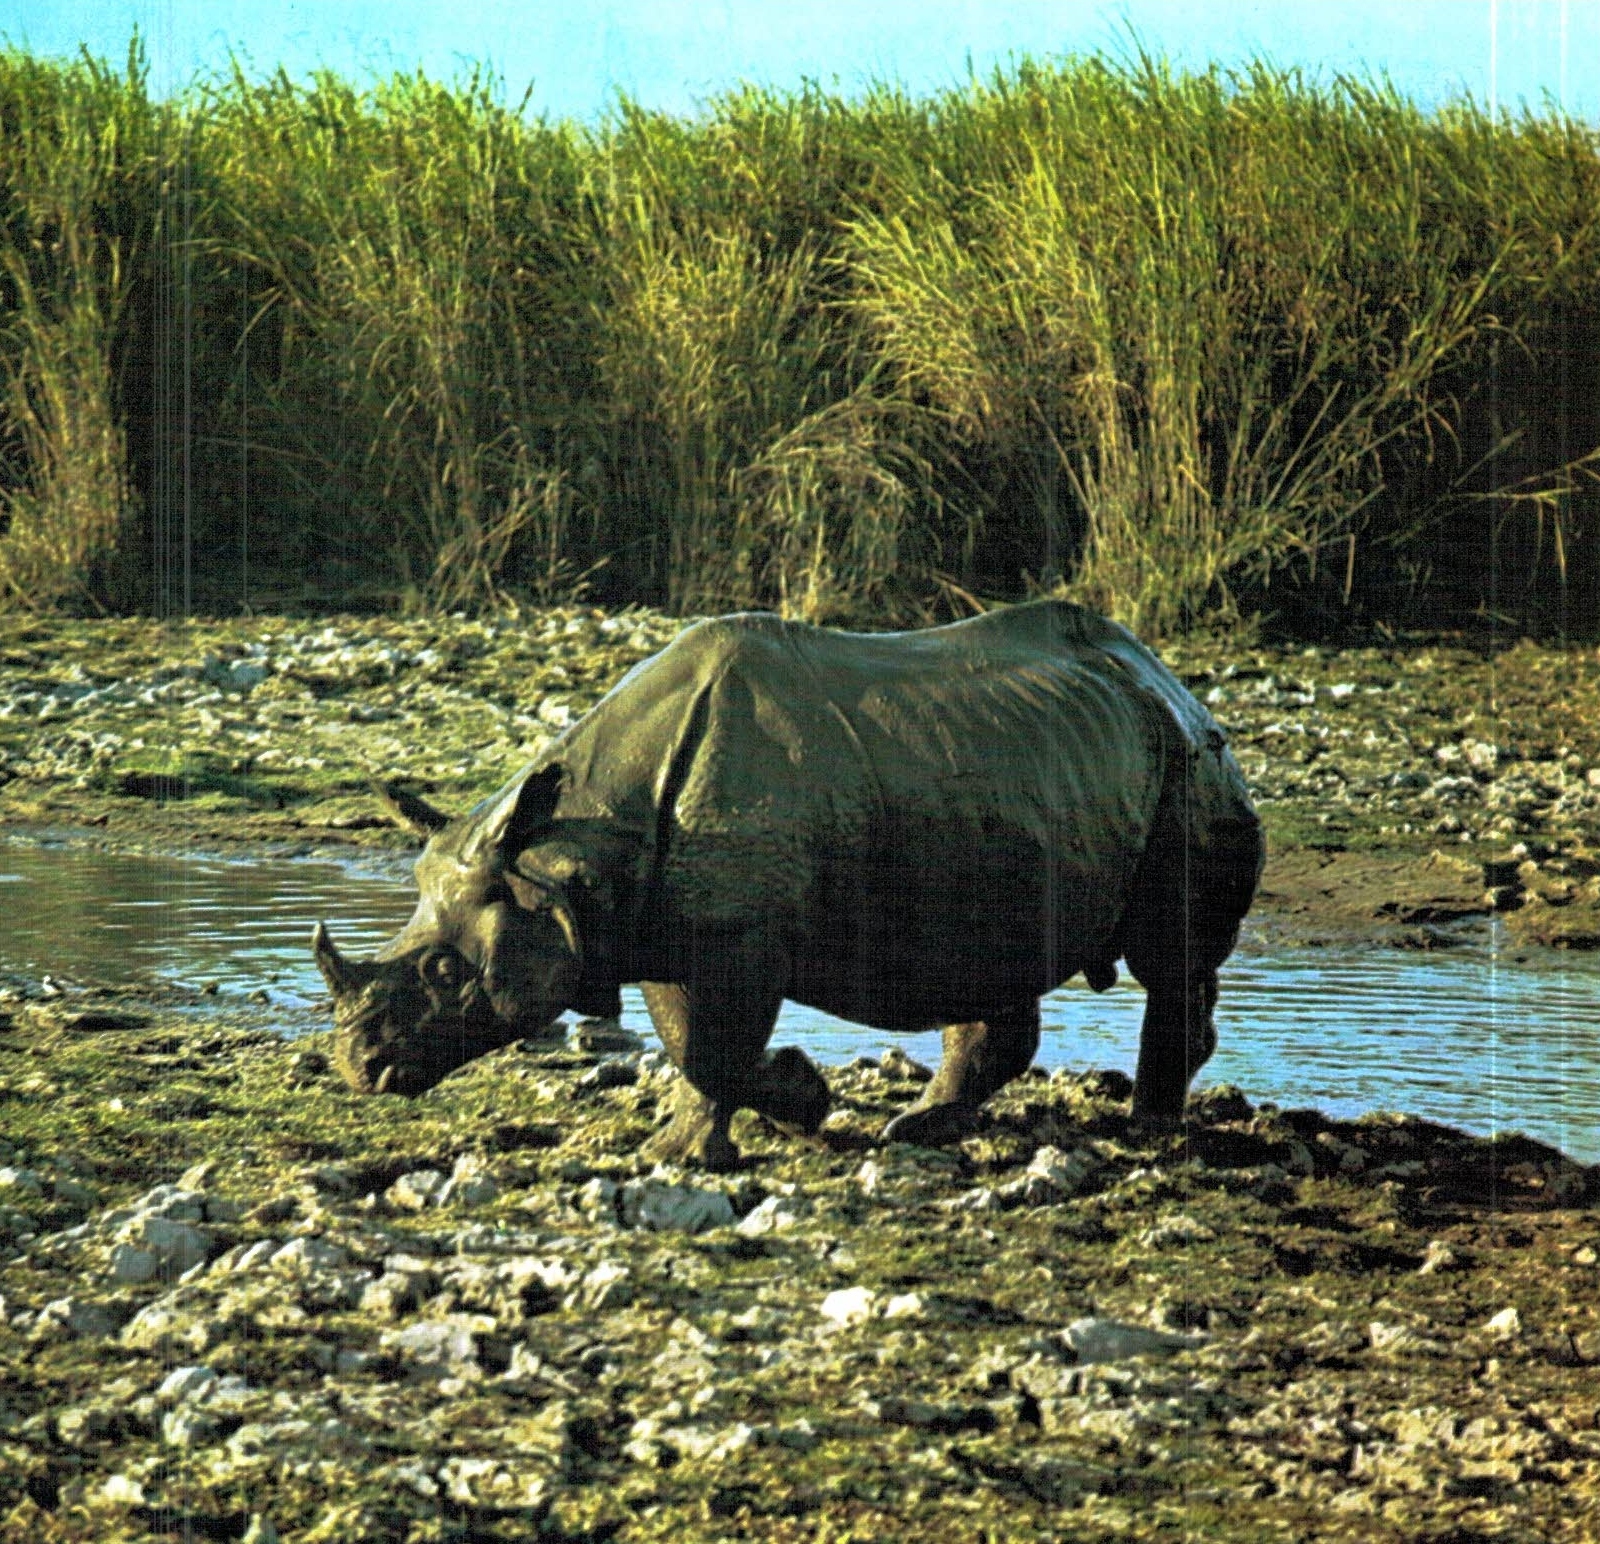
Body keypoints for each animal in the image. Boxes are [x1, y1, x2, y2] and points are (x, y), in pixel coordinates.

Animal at [313, 600, 1263, 1169]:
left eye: (444, 972)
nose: (360, 1068)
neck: (562, 858)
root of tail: (1169, 678)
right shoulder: (663, 923)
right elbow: (696, 1043)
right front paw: (768, 1114)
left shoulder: (732, 935)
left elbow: (712, 1046)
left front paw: (733, 1131)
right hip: (1031, 769)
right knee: (996, 956)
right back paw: (918, 1128)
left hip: (1188, 767)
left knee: (1168, 957)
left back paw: (1150, 1134)